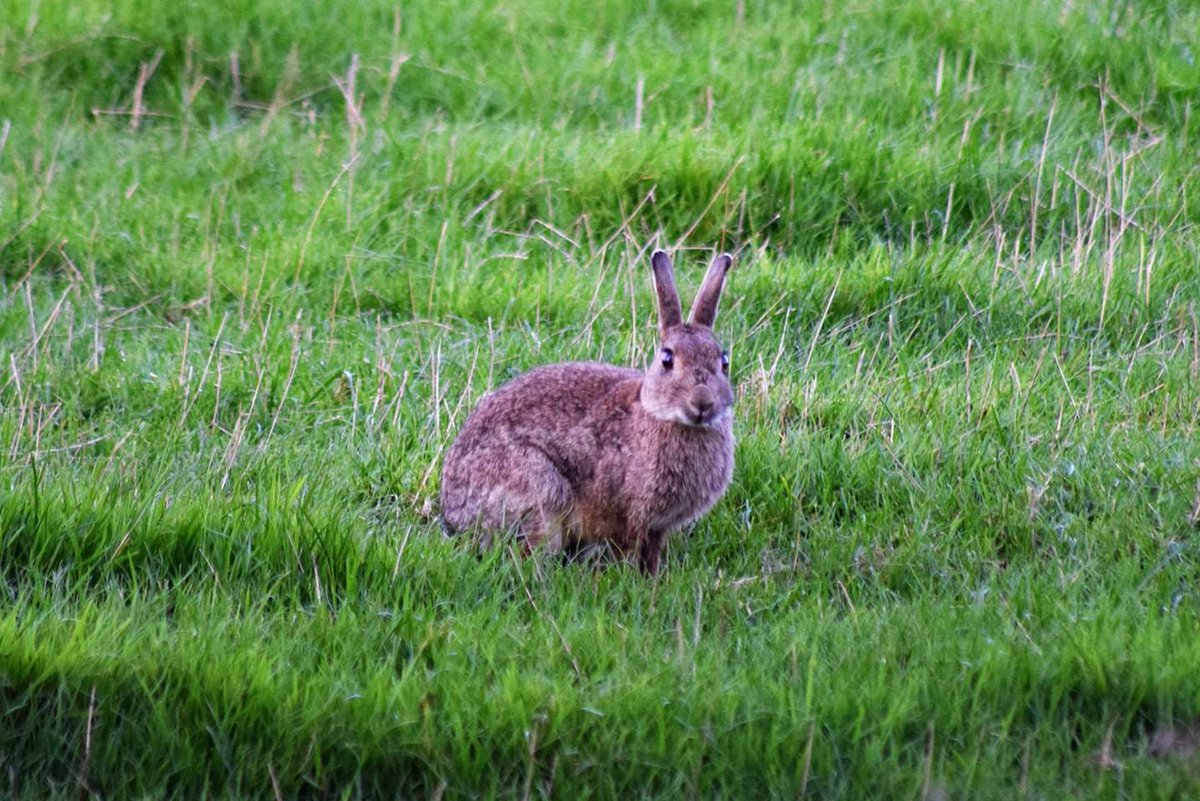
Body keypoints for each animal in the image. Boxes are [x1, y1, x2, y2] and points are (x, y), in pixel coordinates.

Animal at [439, 249, 735, 575]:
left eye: (723, 361)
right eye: (667, 359)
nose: (702, 403)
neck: (657, 414)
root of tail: (454, 512)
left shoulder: (657, 528)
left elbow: (651, 553)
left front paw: (654, 578)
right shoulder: (626, 514)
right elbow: (628, 547)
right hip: (539, 490)